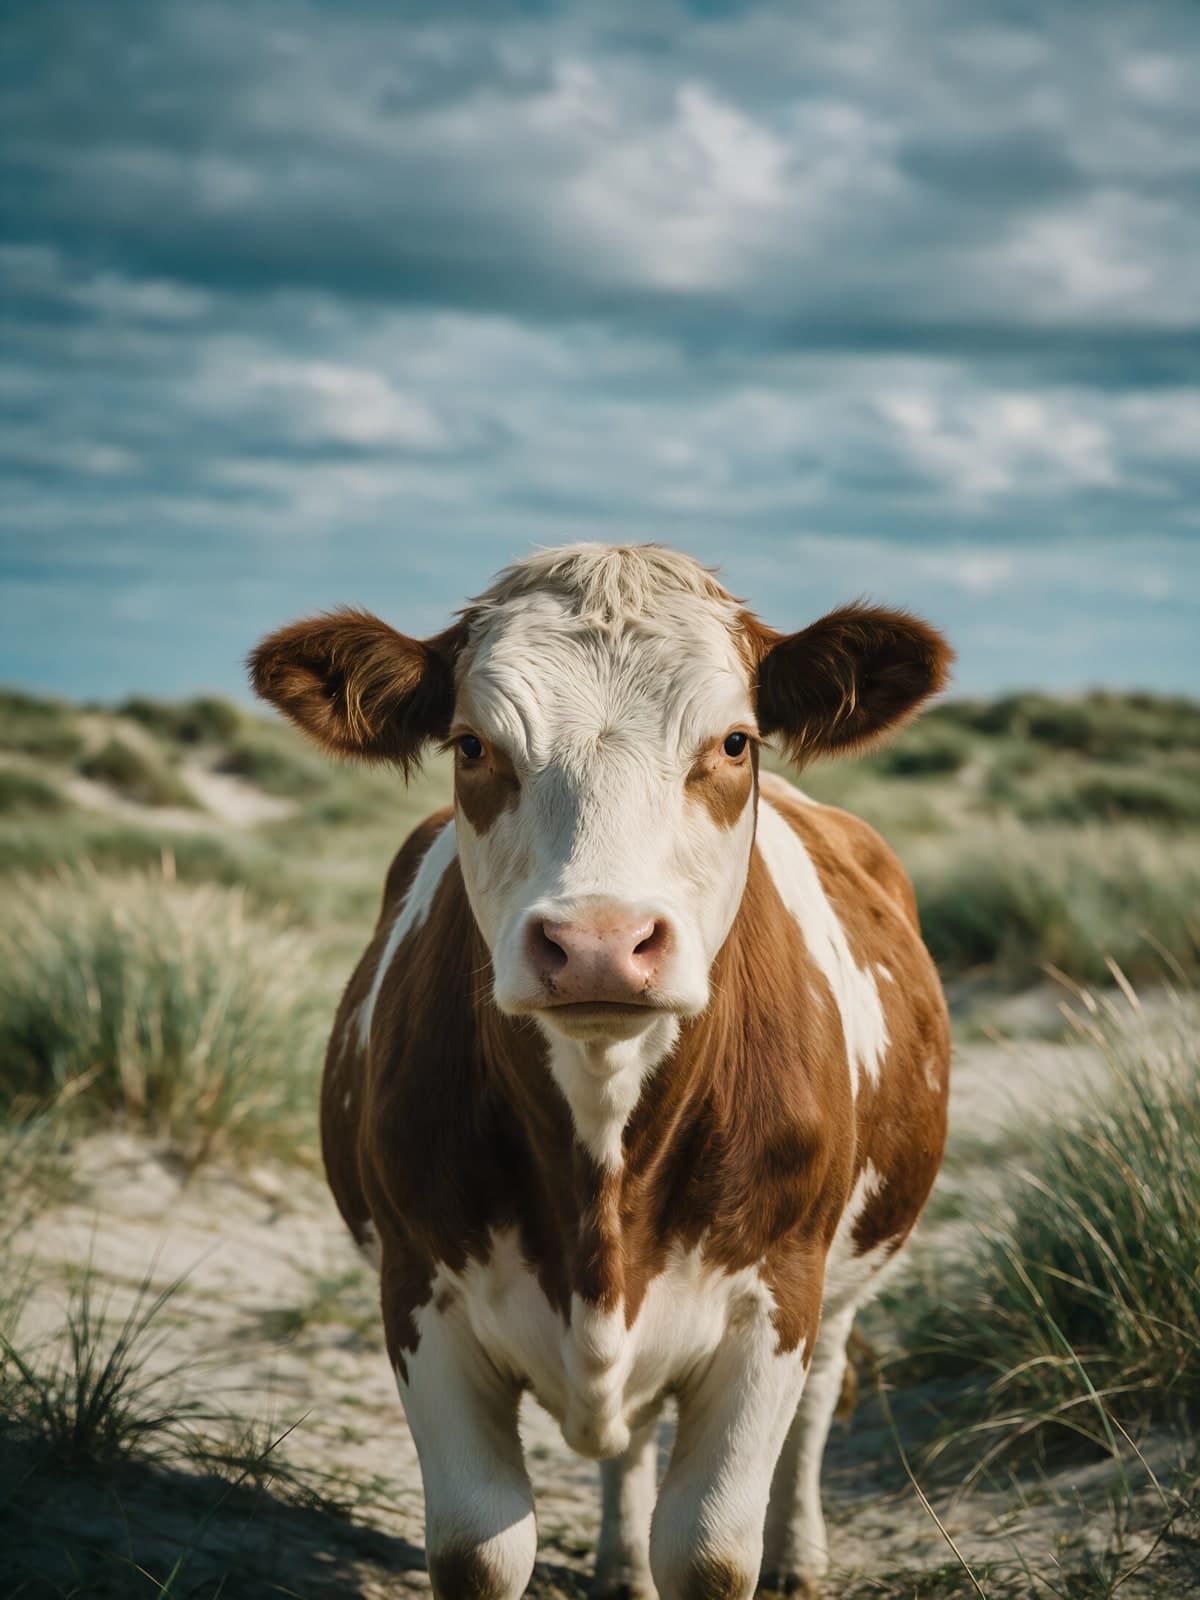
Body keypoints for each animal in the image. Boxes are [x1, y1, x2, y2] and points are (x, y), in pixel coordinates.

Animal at [250, 543, 952, 1600]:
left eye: (735, 742)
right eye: (472, 745)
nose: (598, 944)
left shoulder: (774, 1302)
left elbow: (710, 1549)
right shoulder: (420, 1294)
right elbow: (479, 1548)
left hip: (842, 1280)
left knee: (823, 1395)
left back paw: (800, 1554)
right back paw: (621, 1566)